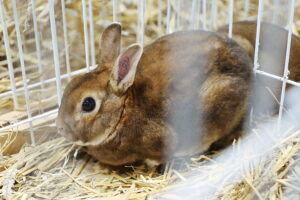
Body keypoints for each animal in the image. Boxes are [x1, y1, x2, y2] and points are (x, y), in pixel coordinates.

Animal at [56, 23, 253, 167]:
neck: (123, 112)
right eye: (71, 84)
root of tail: (248, 69)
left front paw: (150, 162)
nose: (60, 129)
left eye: (88, 104)